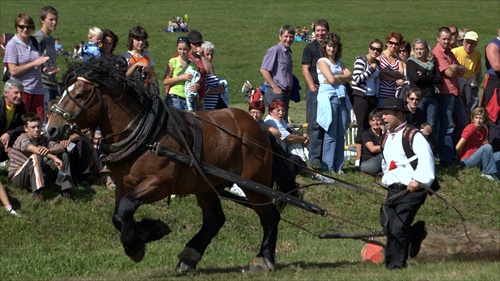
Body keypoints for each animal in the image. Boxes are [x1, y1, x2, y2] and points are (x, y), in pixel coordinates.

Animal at [46, 59, 296, 272]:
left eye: (79, 94)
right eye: (62, 92)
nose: (51, 128)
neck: (148, 136)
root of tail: (260, 128)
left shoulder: (160, 183)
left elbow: (126, 209)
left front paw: (141, 240)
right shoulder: (123, 185)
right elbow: (119, 216)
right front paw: (145, 234)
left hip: (254, 184)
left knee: (270, 216)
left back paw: (264, 259)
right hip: (205, 185)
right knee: (215, 220)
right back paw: (189, 256)